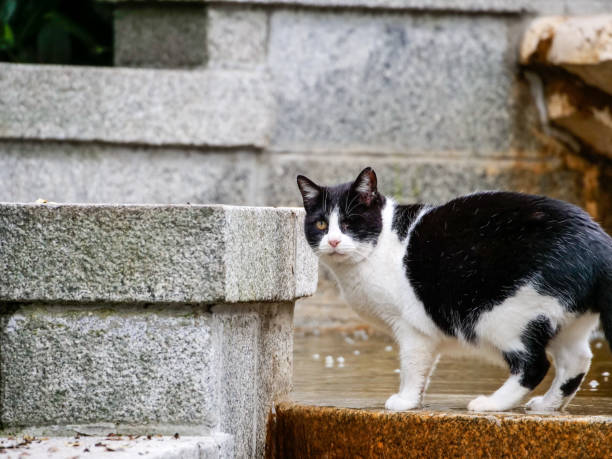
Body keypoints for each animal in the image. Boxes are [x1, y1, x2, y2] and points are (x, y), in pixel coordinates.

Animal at [296, 167, 612, 412]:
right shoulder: (426, 331)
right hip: (564, 319)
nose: (333, 241)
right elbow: (425, 367)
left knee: (534, 365)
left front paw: (405, 401)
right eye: (321, 224)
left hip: (503, 314)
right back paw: (548, 406)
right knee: (576, 360)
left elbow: (411, 365)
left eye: (349, 223)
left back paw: (491, 404)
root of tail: (599, 242)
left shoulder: (410, 327)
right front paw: (416, 400)